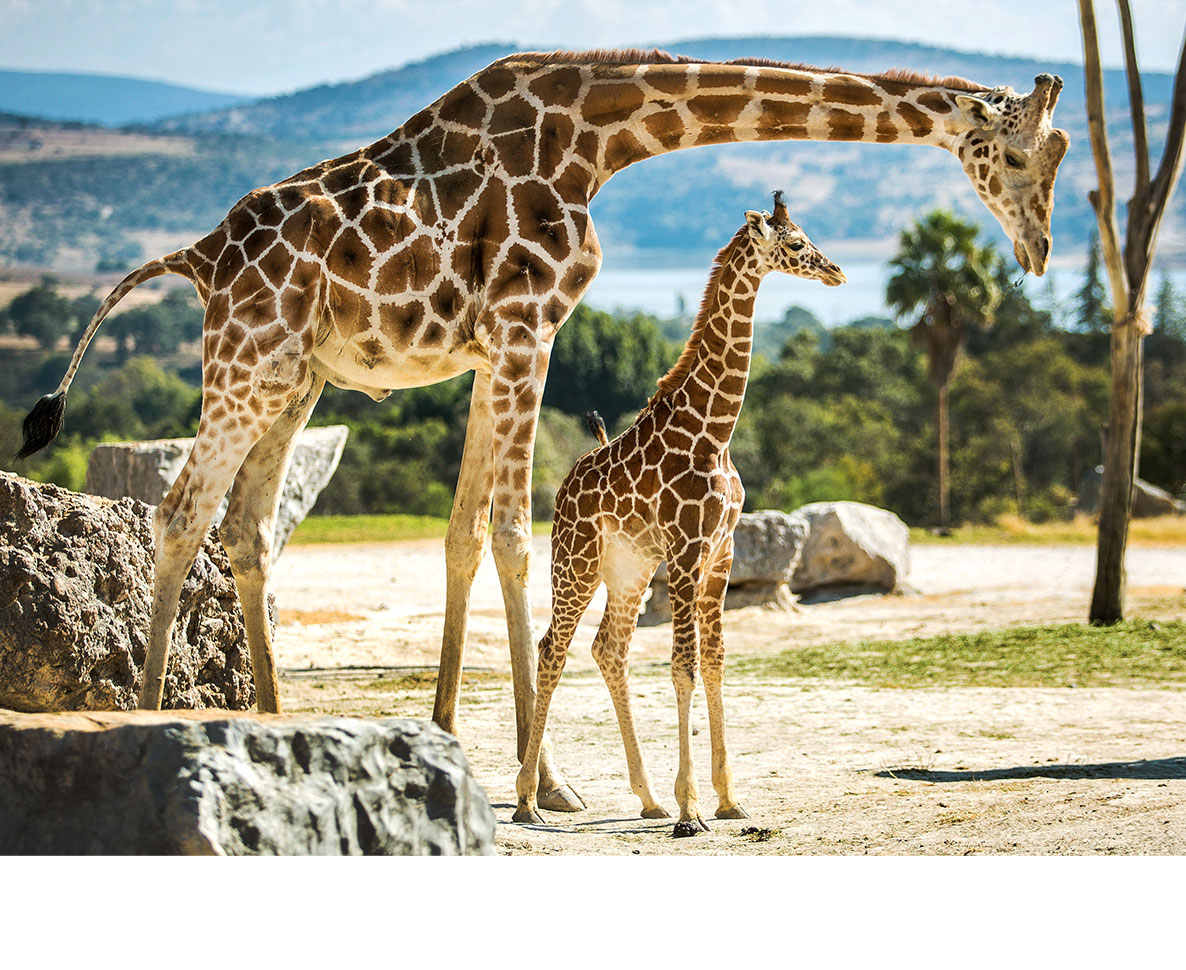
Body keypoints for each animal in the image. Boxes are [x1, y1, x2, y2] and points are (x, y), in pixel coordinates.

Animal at [514, 194, 839, 830]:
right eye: (795, 243)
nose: (836, 271)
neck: (714, 431)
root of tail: (563, 490)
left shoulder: (721, 554)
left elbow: (713, 662)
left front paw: (727, 798)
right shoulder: (688, 551)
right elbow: (682, 665)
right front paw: (692, 811)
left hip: (630, 568)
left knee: (607, 649)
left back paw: (647, 798)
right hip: (576, 562)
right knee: (552, 649)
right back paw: (527, 803)